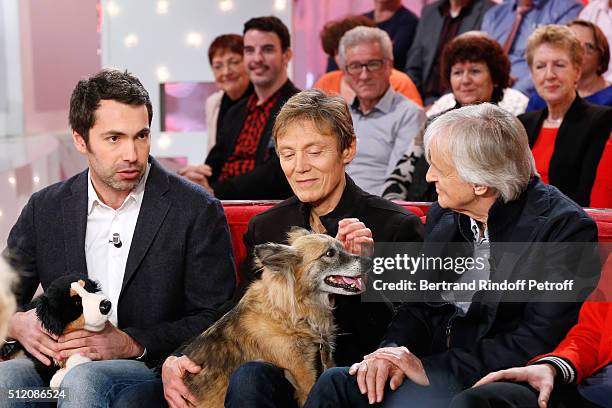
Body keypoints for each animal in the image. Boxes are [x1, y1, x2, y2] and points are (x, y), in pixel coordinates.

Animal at [183, 228, 368, 406]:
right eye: (330, 253)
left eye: (343, 247)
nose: (369, 261)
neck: (290, 314)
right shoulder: (304, 376)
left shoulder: (326, 361)